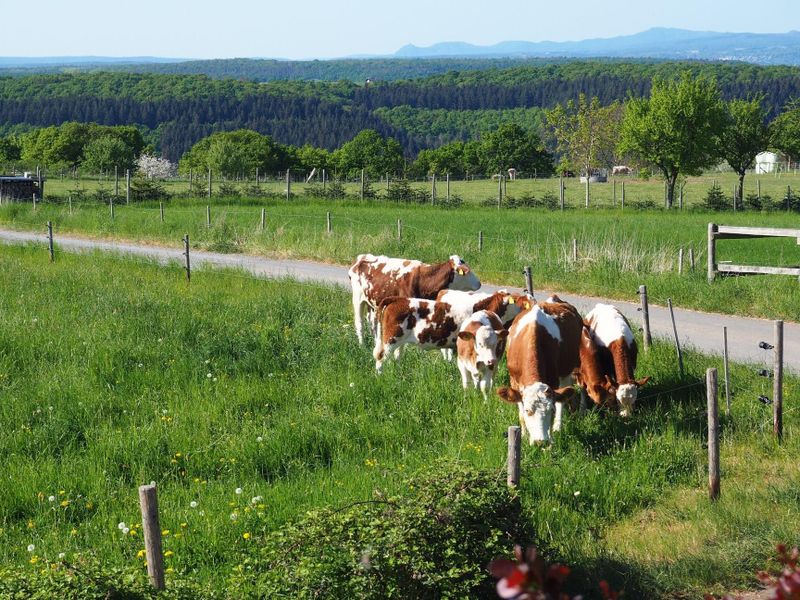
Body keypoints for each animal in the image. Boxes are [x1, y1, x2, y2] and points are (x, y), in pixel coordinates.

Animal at [346, 254, 478, 346]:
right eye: (467, 271)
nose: (479, 283)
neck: (424, 279)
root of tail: (361, 258)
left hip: (373, 302)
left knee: (372, 323)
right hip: (357, 299)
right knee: (359, 323)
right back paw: (362, 346)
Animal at [376, 290, 524, 370]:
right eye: (515, 301)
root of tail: (397, 299)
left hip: (399, 342)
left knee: (396, 357)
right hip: (391, 339)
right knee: (380, 357)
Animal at [494, 298, 580, 442]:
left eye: (551, 410)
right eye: (528, 410)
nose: (541, 442)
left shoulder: (553, 380)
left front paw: (551, 438)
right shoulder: (514, 381)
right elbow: (520, 413)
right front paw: (523, 435)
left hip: (567, 371)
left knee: (562, 398)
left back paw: (558, 427)